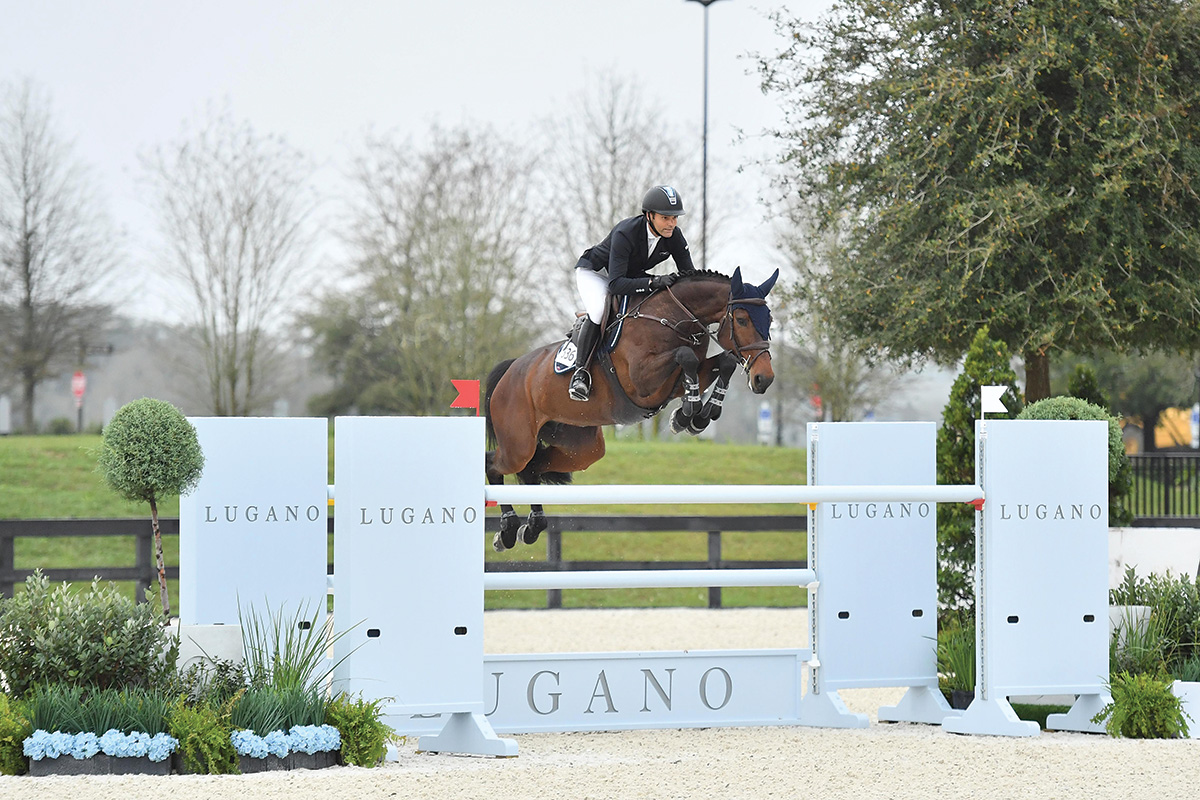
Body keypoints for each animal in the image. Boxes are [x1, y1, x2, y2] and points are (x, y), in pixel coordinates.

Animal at [484, 267, 777, 551]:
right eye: (742, 320)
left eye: (769, 320)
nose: (764, 379)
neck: (673, 317)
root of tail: (510, 369)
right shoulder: (643, 380)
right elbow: (685, 356)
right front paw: (688, 414)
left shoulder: (679, 379)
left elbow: (722, 361)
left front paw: (696, 417)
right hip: (519, 443)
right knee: (495, 465)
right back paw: (508, 529)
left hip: (581, 447)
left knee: (533, 467)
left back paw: (532, 527)